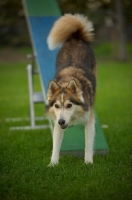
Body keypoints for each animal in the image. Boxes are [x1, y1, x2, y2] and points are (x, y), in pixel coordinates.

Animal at [46, 13, 96, 165]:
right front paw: (53, 164)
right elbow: (55, 146)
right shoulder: (57, 123)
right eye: (56, 106)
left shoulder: (89, 121)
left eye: (69, 105)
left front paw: (88, 163)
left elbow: (88, 144)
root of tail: (76, 37)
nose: (62, 121)